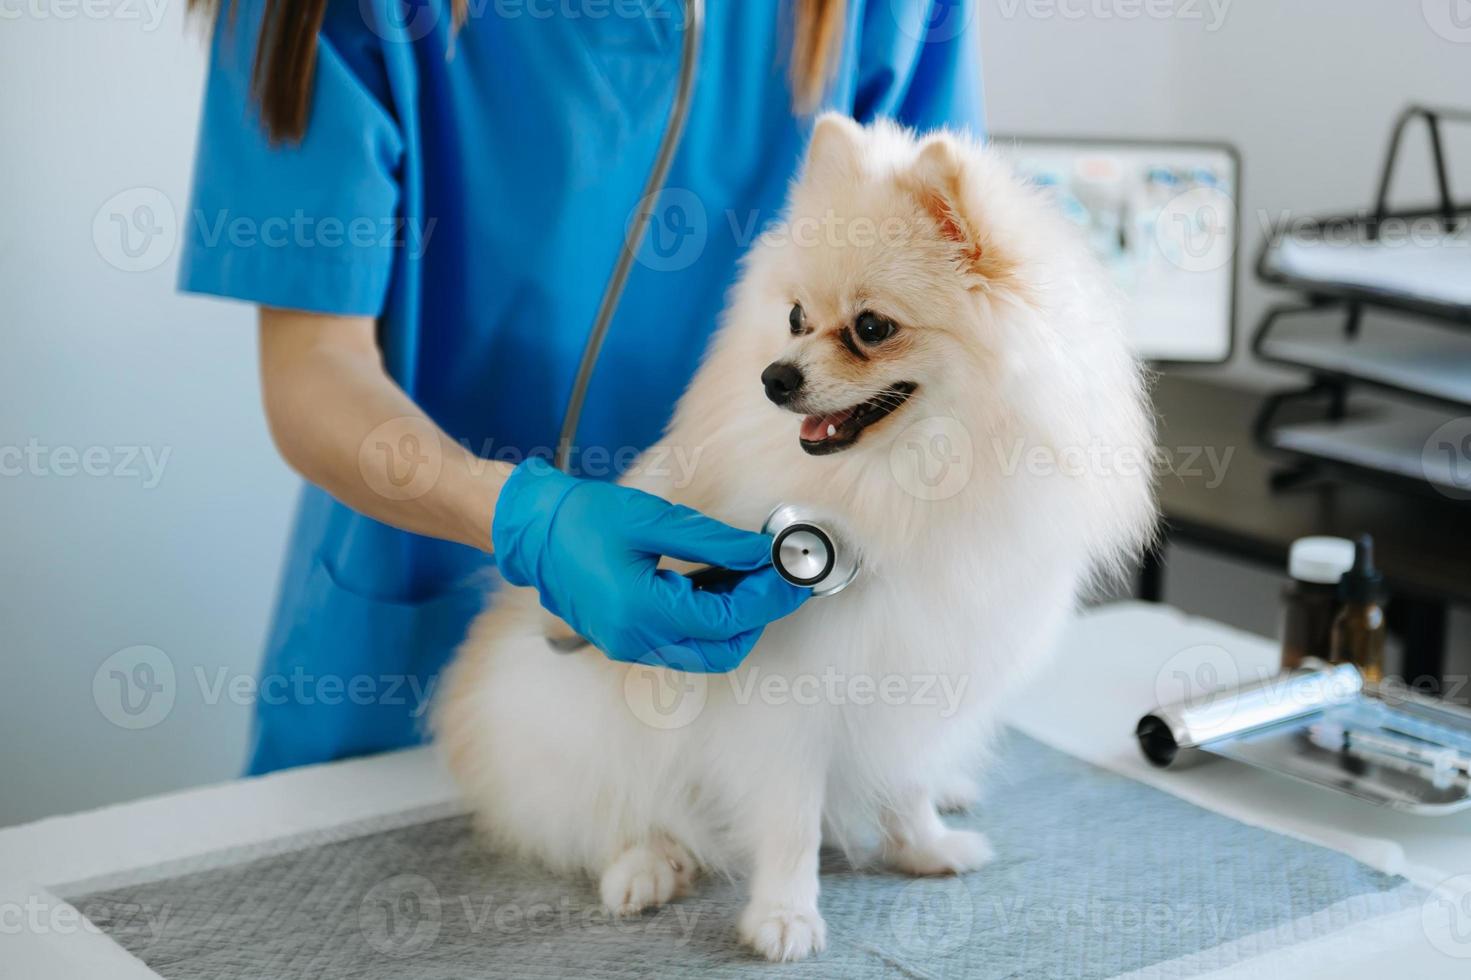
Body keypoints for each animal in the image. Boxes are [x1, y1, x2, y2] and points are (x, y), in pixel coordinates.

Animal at [429, 116, 1153, 959]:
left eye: (870, 327)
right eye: (796, 318)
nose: (775, 377)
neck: (903, 484)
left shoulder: (918, 676)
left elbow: (905, 781)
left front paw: (923, 847)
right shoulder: (785, 707)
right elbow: (789, 823)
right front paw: (784, 916)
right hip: (570, 711)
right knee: (602, 810)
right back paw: (646, 865)